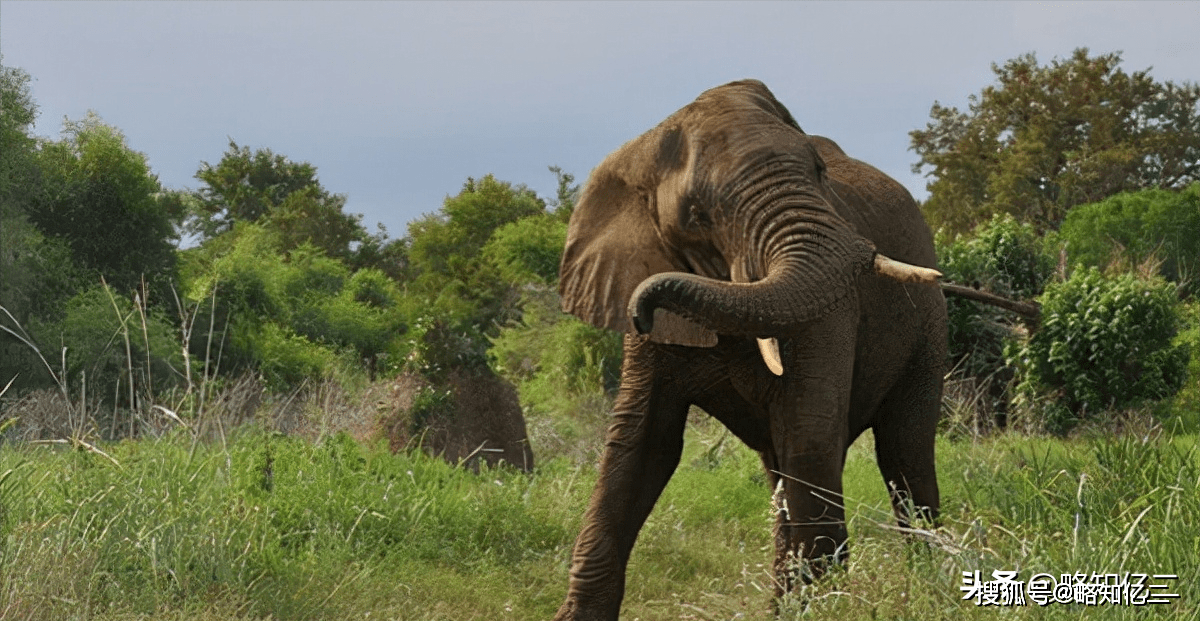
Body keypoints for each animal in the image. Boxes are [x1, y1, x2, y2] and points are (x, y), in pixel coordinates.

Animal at [552, 81, 945, 621]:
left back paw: (929, 582)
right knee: (783, 468)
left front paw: (822, 606)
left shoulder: (833, 310)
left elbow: (809, 434)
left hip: (928, 332)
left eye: (819, 171)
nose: (642, 307)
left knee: (904, 452)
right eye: (697, 216)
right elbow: (641, 445)